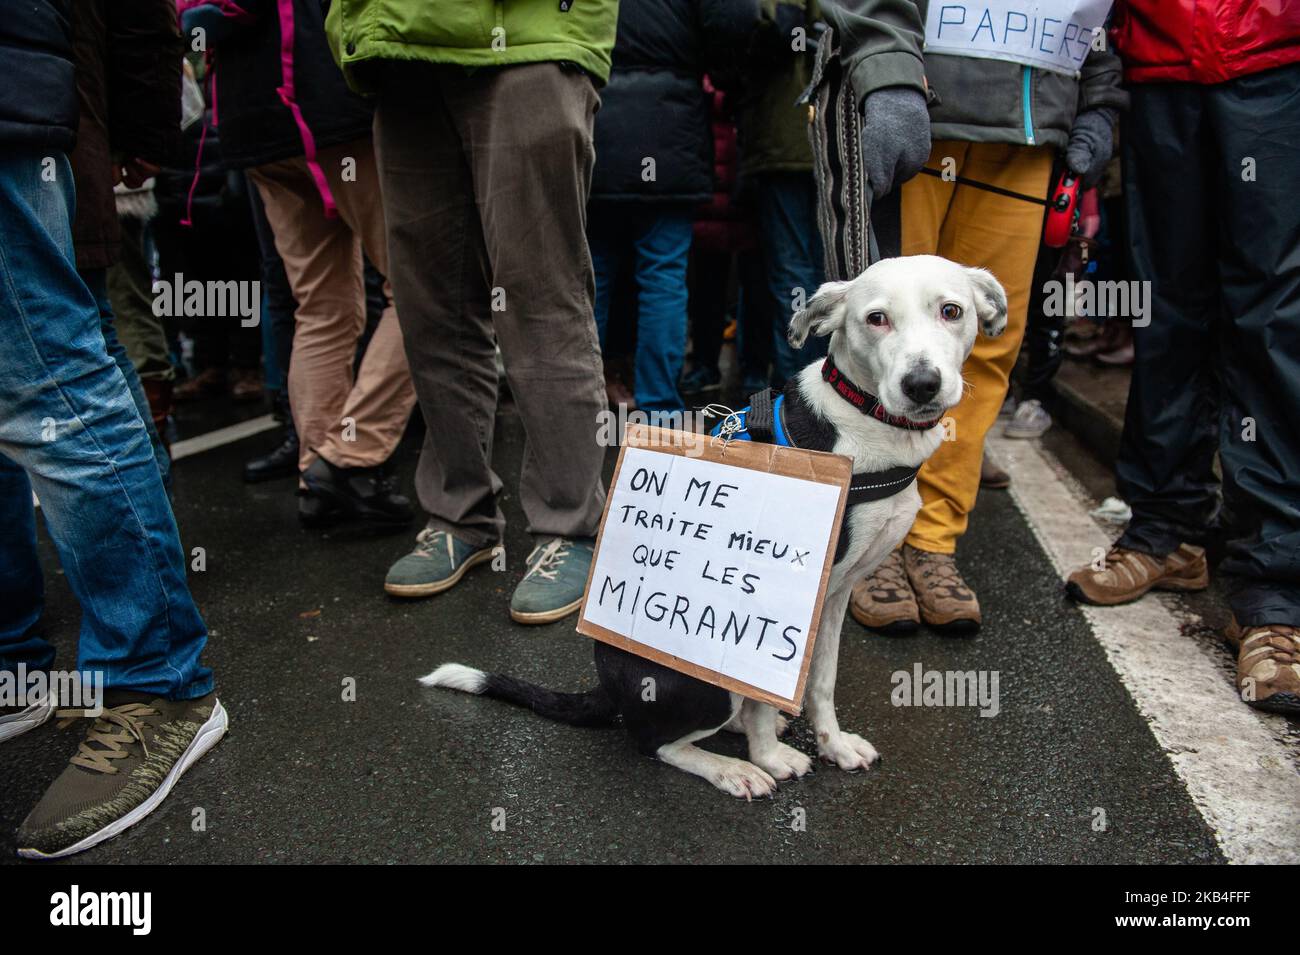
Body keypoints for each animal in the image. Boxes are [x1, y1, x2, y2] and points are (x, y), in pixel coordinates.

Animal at [421, 255, 1008, 800]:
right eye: (876, 318)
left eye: (951, 311)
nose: (922, 384)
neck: (866, 422)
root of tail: (608, 689)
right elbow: (758, 695)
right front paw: (770, 758)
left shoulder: (835, 596)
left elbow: (821, 681)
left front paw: (834, 744)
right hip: (693, 683)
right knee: (658, 741)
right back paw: (733, 766)